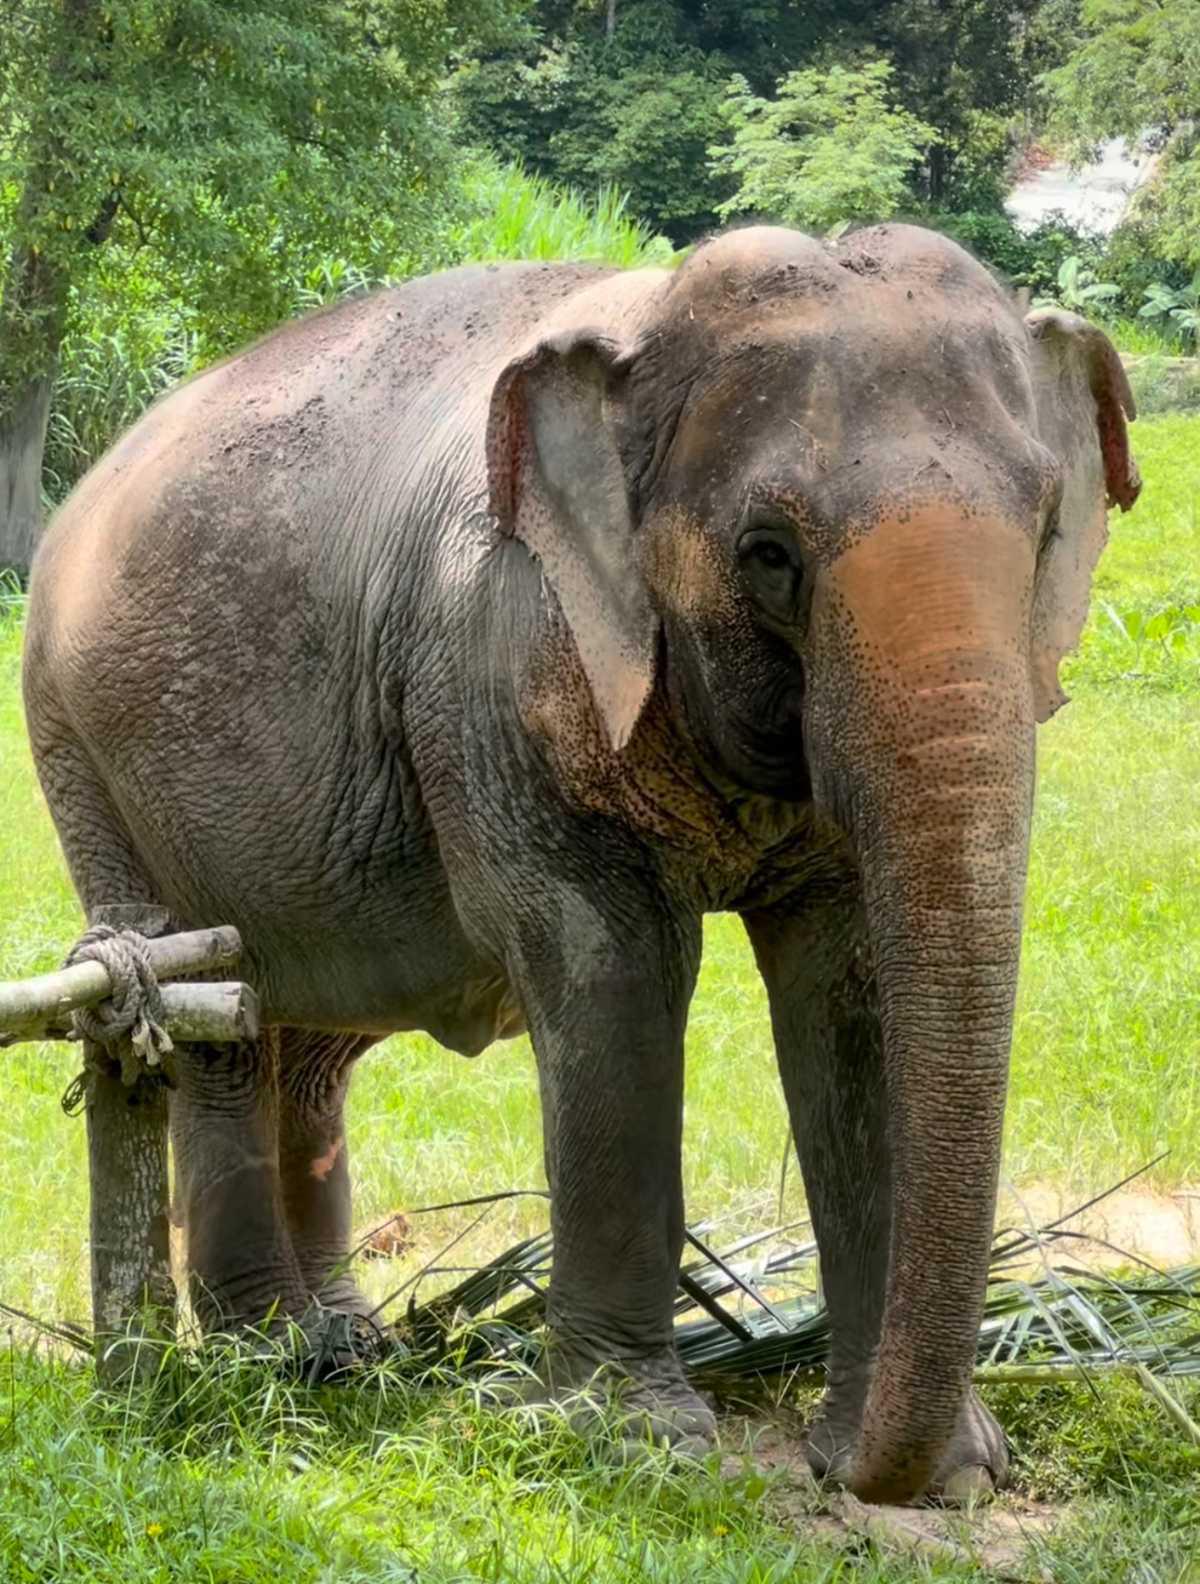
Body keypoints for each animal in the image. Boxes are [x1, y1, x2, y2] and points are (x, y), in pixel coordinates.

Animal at [22, 223, 1139, 1505]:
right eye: (768, 554)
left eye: (1049, 527)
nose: (854, 1471)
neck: (649, 318)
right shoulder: (490, 661)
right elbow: (609, 966)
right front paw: (631, 1440)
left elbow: (845, 992)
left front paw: (949, 1473)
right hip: (84, 758)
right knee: (220, 1009)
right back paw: (273, 1357)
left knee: (313, 1044)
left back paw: (349, 1345)